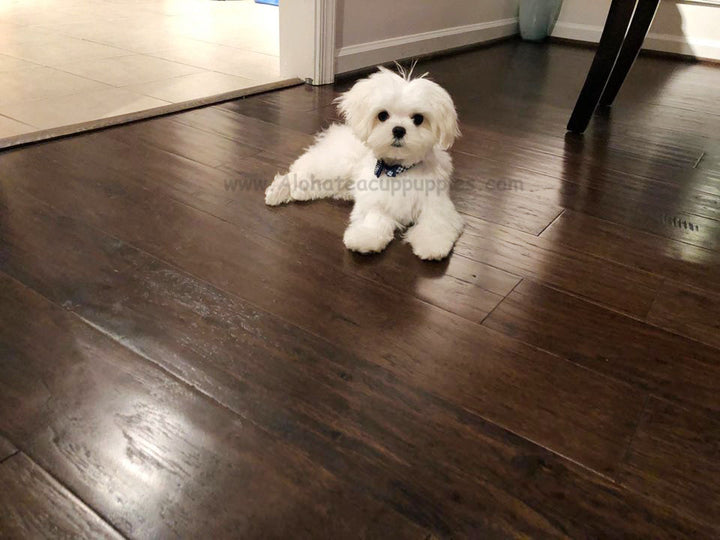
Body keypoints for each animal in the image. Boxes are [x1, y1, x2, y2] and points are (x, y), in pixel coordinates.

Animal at [264, 66, 462, 260]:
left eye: (418, 119)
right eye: (382, 116)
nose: (399, 130)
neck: (397, 169)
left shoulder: (436, 202)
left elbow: (435, 222)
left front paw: (432, 243)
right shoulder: (376, 200)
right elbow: (373, 219)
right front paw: (366, 237)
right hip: (335, 165)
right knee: (299, 172)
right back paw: (279, 191)